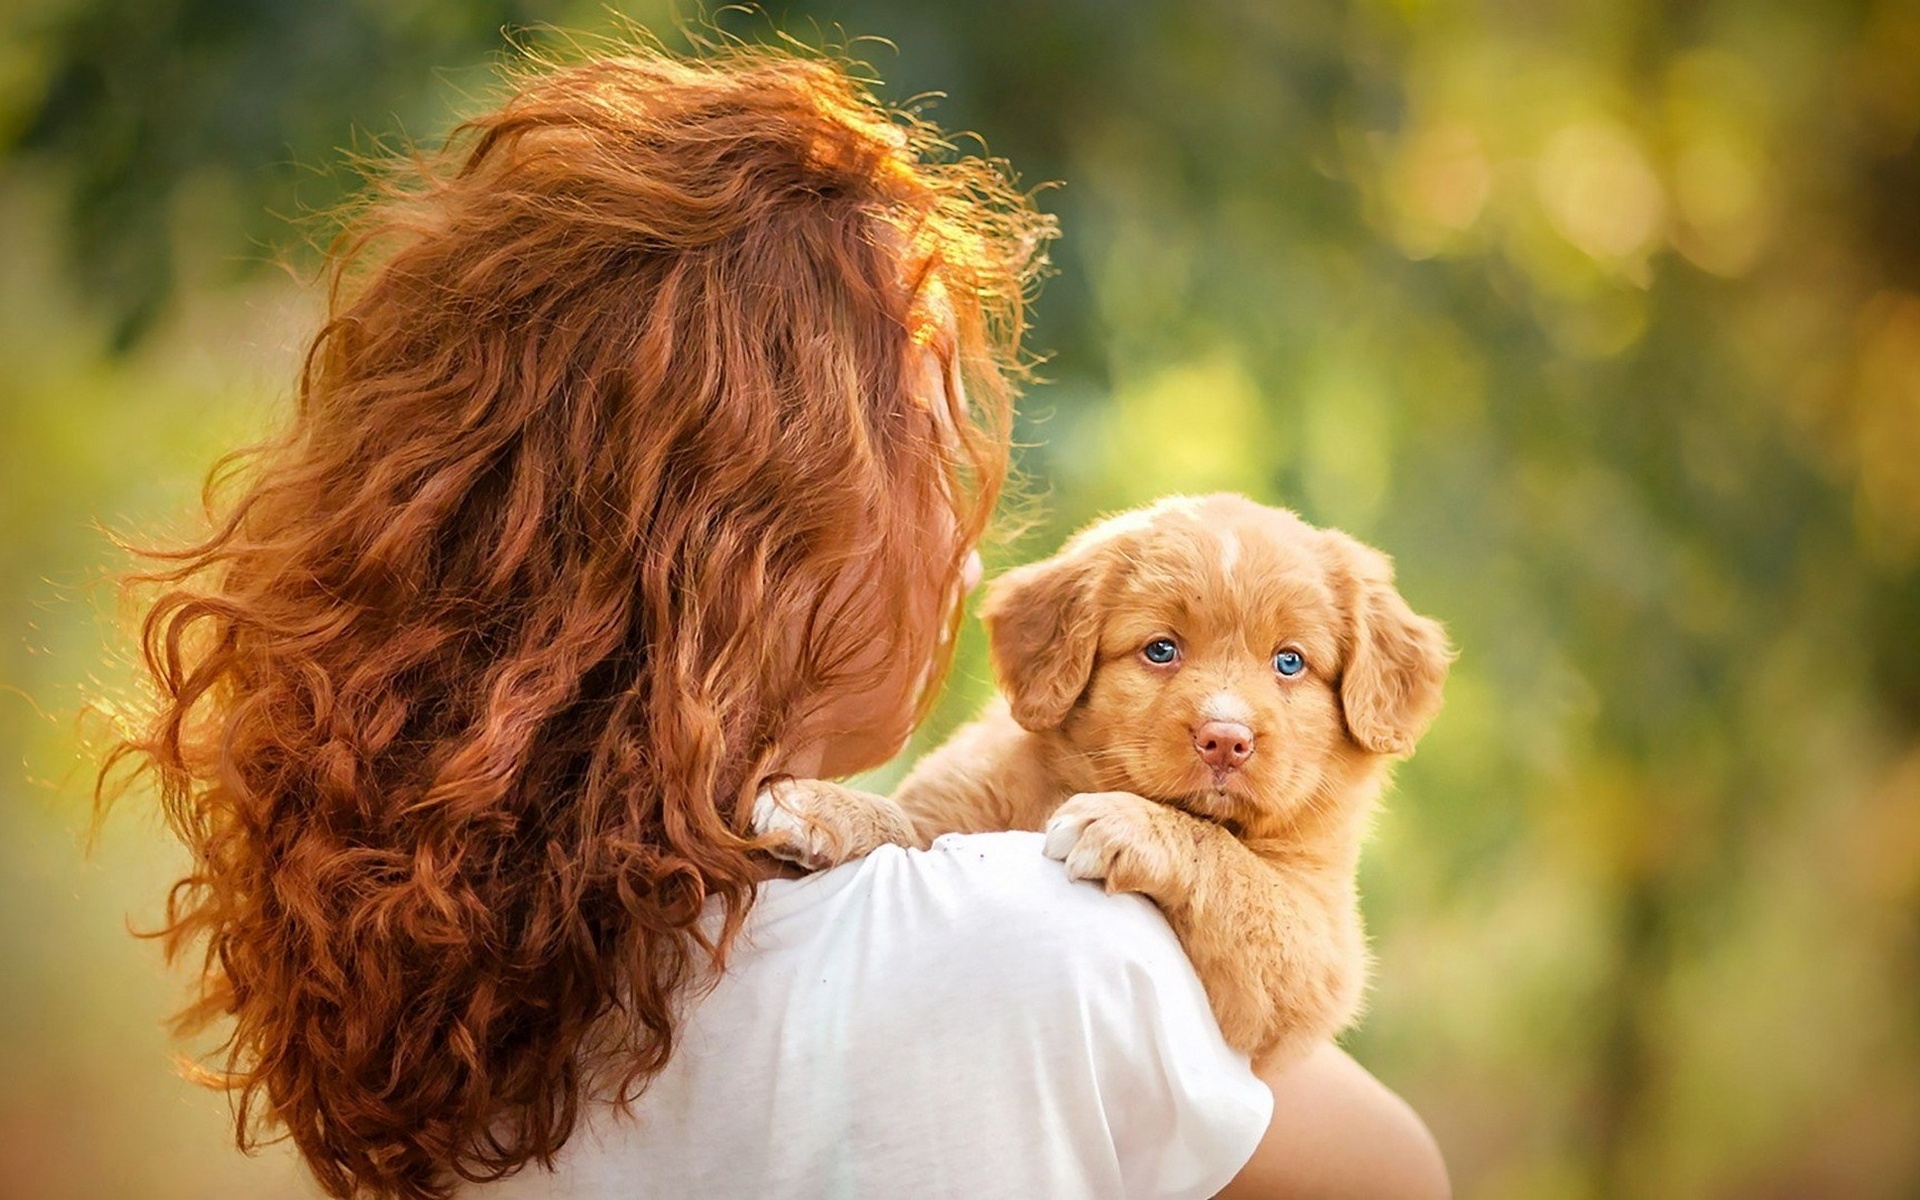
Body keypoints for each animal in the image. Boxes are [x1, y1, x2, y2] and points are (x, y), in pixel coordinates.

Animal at [756, 491, 1443, 1059]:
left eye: (1290, 662)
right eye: (1161, 649)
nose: (1226, 740)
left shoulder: (1314, 953)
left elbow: (1235, 870)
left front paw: (1126, 824)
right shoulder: (960, 801)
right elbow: (910, 821)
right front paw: (824, 804)